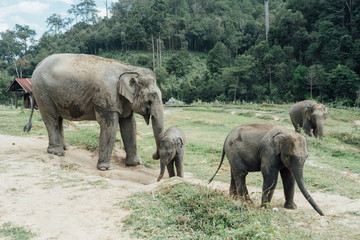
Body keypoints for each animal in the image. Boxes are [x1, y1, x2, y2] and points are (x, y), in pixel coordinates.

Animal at [25, 54, 165, 171]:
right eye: (152, 97)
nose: (154, 155)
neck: (128, 68)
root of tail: (39, 63)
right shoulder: (106, 96)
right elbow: (110, 126)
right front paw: (105, 168)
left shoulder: (123, 101)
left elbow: (129, 125)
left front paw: (135, 163)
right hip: (42, 92)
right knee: (51, 118)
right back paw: (57, 152)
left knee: (58, 119)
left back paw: (65, 148)